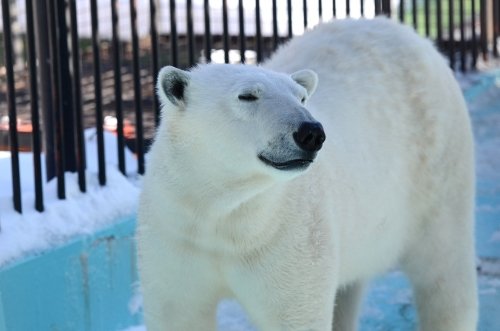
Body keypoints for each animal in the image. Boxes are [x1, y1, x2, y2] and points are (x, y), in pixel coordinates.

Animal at [136, 17, 476, 331]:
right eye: (247, 96)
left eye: (301, 97)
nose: (311, 132)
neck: (225, 213)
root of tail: (408, 32)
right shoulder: (177, 237)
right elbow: (179, 312)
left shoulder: (287, 238)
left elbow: (296, 312)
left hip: (437, 168)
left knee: (443, 267)